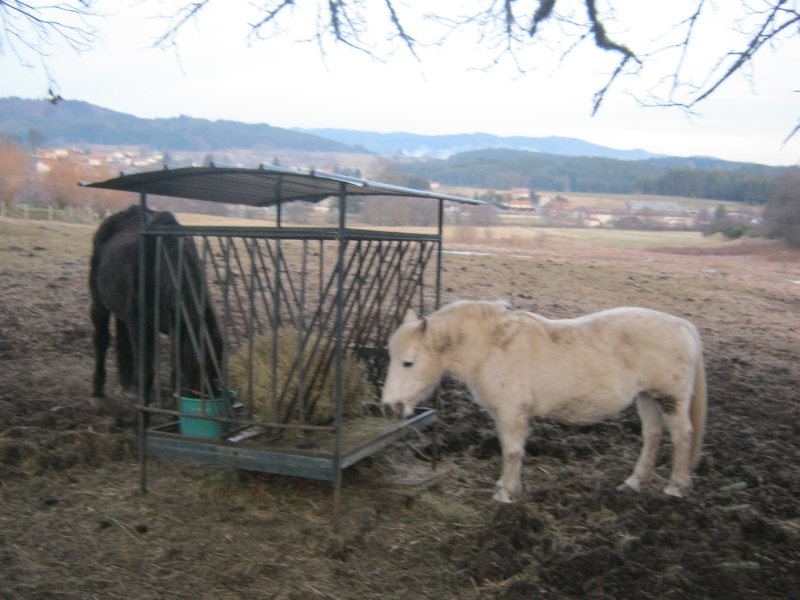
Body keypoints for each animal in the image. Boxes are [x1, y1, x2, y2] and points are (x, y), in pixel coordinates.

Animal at [89, 205, 223, 398]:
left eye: (216, 369)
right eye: (193, 364)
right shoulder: (139, 324)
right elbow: (146, 371)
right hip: (99, 304)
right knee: (101, 340)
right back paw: (98, 390)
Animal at [382, 300, 708, 502]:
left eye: (408, 362)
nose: (390, 406)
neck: (491, 347)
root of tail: (682, 326)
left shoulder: (512, 413)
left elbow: (512, 451)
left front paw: (505, 495)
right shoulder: (501, 414)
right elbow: (508, 449)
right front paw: (507, 487)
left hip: (670, 399)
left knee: (682, 436)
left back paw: (675, 488)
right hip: (648, 398)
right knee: (652, 436)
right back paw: (634, 483)